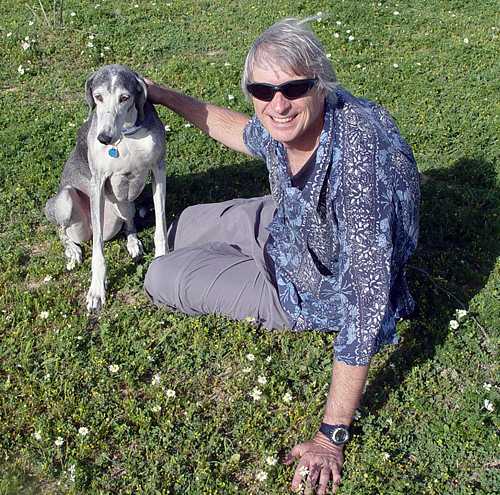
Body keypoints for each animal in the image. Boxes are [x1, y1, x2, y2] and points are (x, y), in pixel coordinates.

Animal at [44, 65, 167, 314]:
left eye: (124, 97)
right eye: (98, 96)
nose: (105, 138)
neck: (127, 135)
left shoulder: (158, 169)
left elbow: (160, 225)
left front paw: (162, 259)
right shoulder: (98, 182)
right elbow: (98, 252)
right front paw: (96, 291)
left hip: (126, 205)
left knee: (129, 223)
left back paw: (133, 243)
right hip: (64, 201)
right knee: (63, 230)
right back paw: (72, 250)